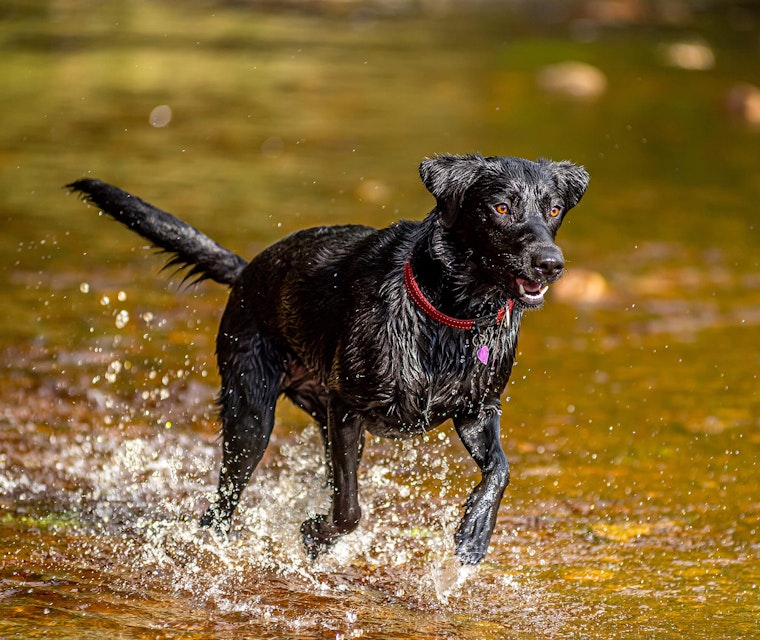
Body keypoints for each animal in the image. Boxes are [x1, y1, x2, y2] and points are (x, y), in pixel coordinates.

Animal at [68, 154, 588, 560]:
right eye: (501, 207)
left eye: (554, 208)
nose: (551, 263)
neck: (454, 314)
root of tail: (247, 271)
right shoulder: (348, 409)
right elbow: (349, 509)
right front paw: (316, 534)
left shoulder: (476, 411)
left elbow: (500, 469)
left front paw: (474, 534)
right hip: (251, 414)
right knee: (224, 500)